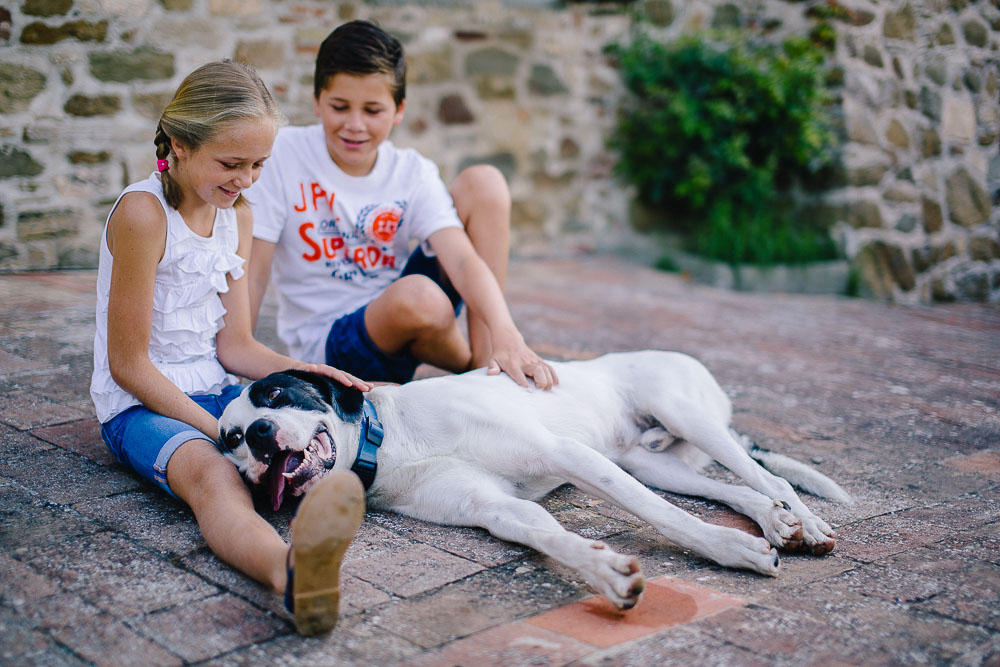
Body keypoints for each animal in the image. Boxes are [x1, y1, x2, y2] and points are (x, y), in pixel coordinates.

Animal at [217, 352, 844, 612]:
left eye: (275, 393)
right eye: (231, 440)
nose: (262, 436)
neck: (391, 442)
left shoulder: (565, 454)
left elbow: (664, 517)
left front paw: (730, 550)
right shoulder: (495, 508)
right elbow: (548, 535)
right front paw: (609, 575)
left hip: (684, 415)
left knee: (765, 474)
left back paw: (807, 523)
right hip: (649, 463)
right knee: (741, 489)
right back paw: (776, 522)